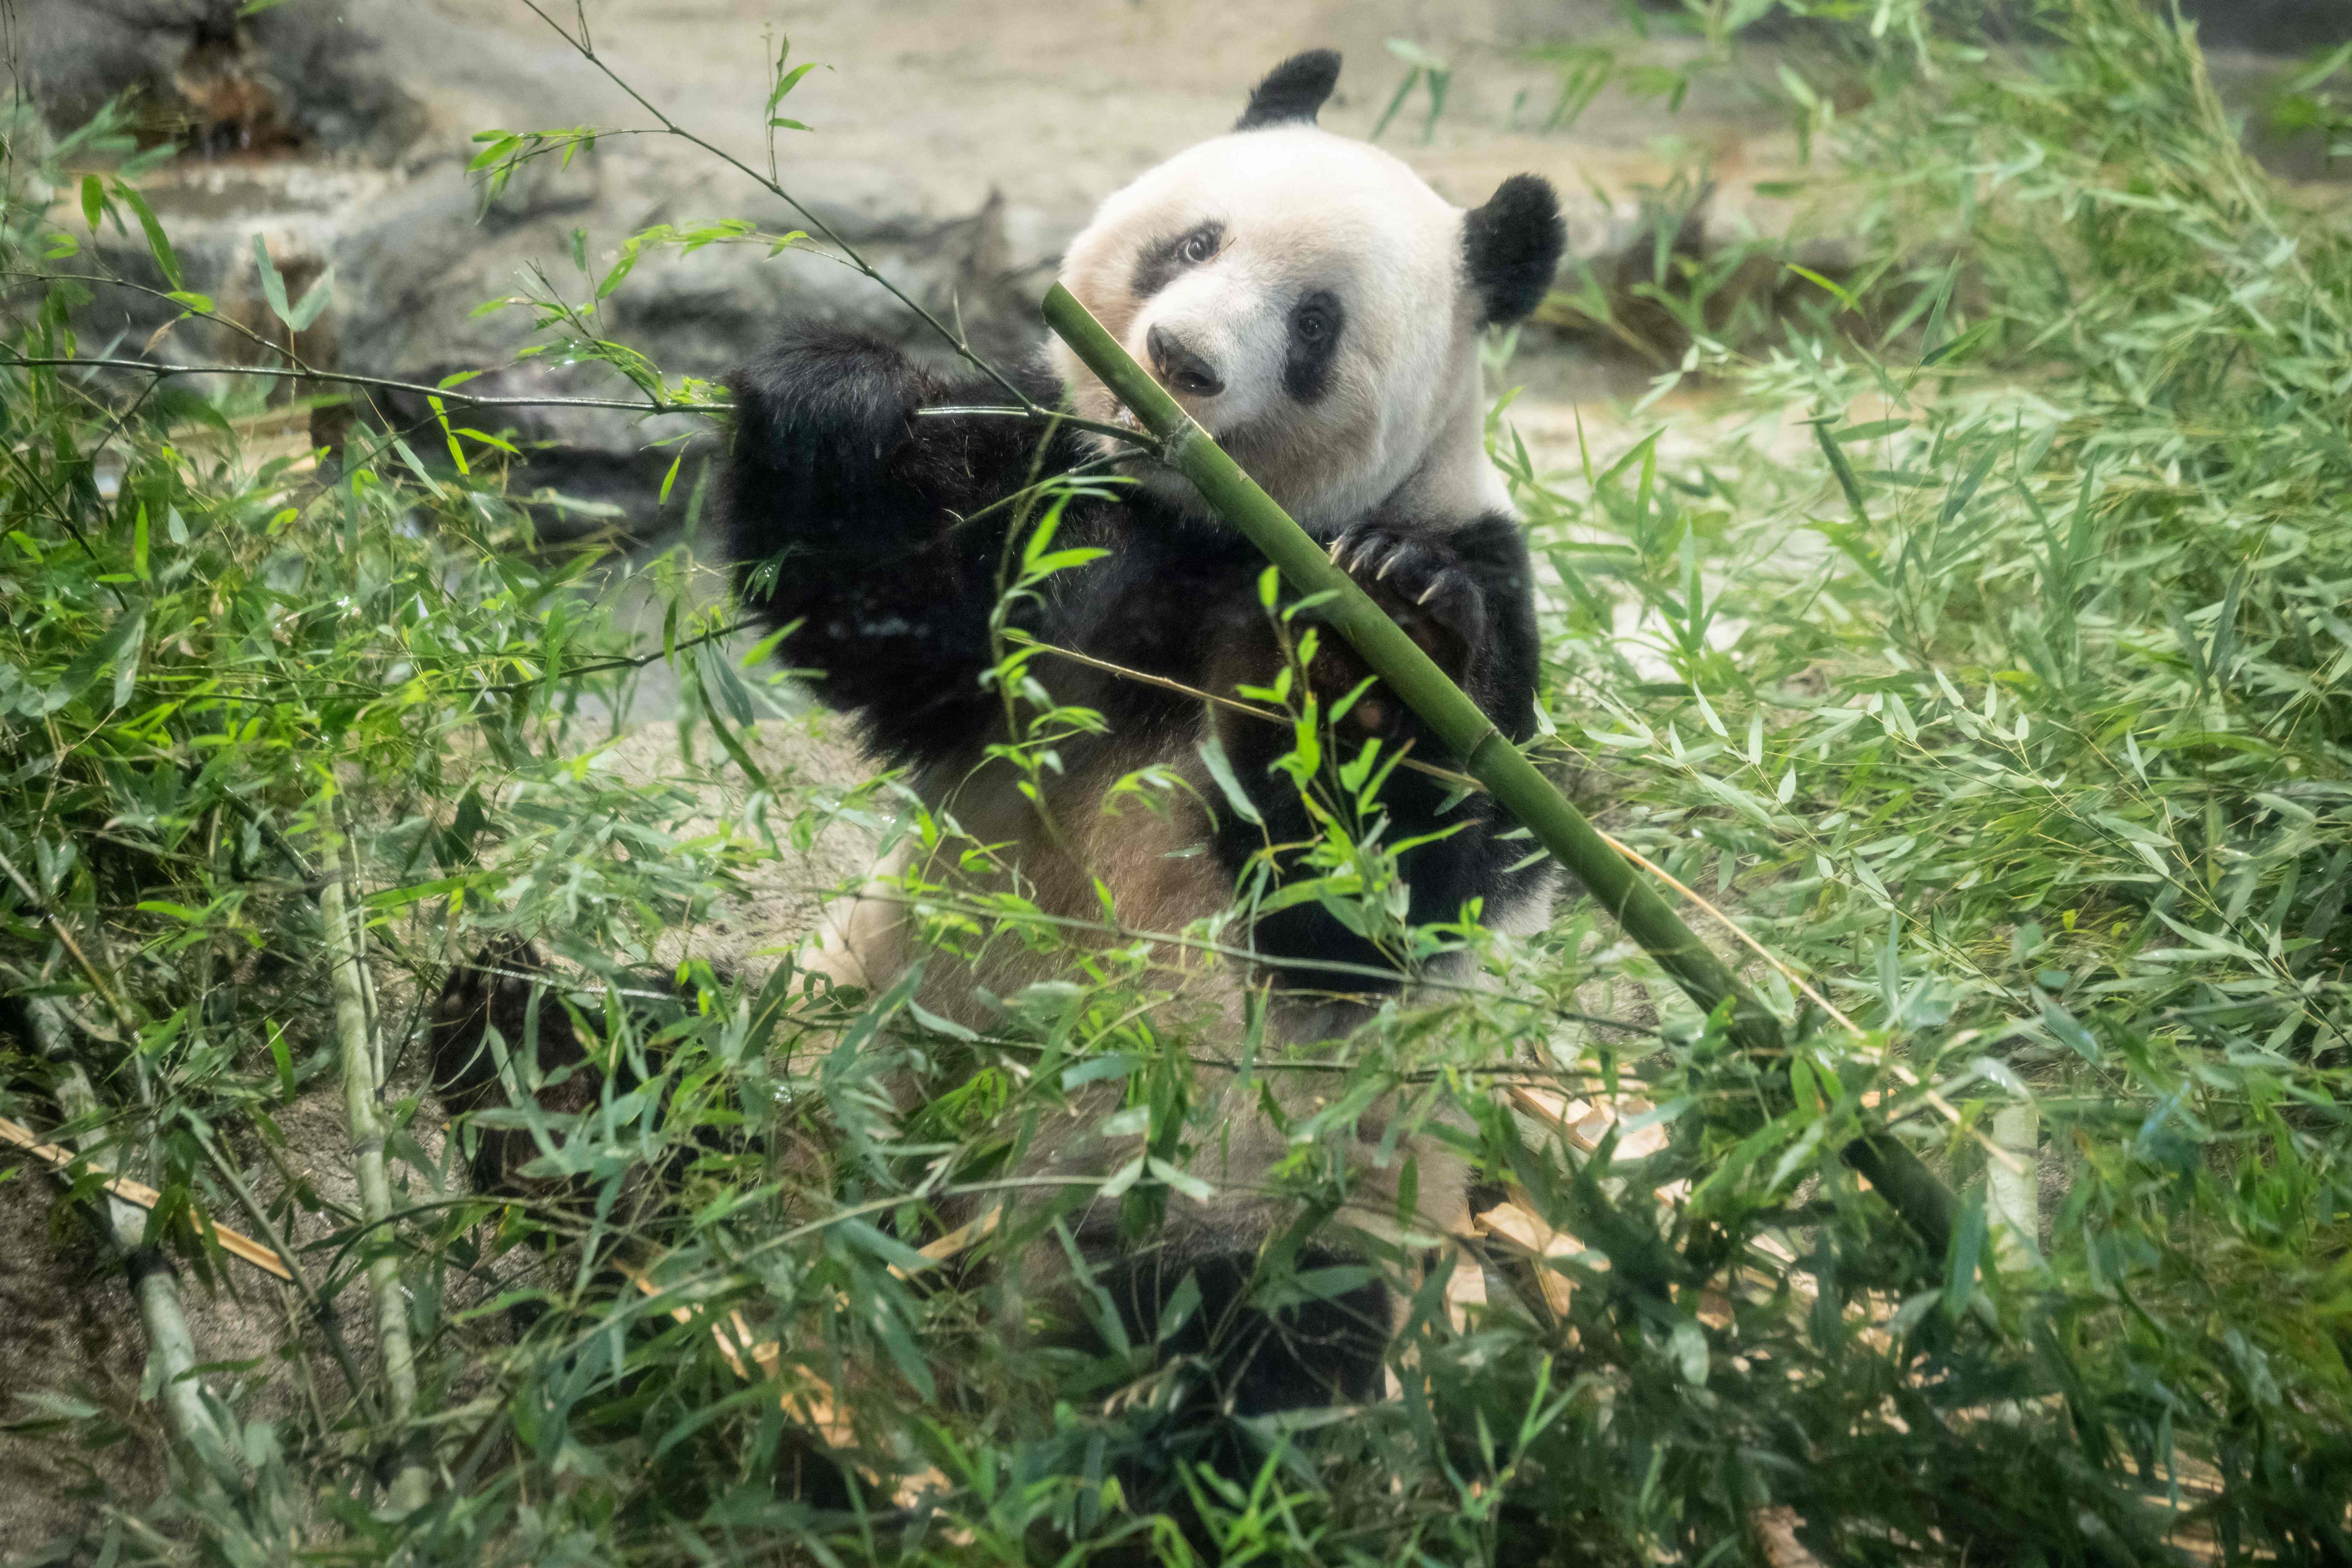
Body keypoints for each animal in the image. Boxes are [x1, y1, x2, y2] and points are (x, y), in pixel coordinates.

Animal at [437, 50, 1568, 1415]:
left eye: (1313, 326)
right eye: (1193, 242)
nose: (1179, 357)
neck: (1206, 523)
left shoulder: (1469, 591)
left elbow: (1365, 896)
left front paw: (1378, 627)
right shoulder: (1060, 517)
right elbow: (897, 614)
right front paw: (836, 396)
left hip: (1258, 1186)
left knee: (1254, 1340)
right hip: (832, 1034)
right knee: (664, 1055)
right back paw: (535, 1080)